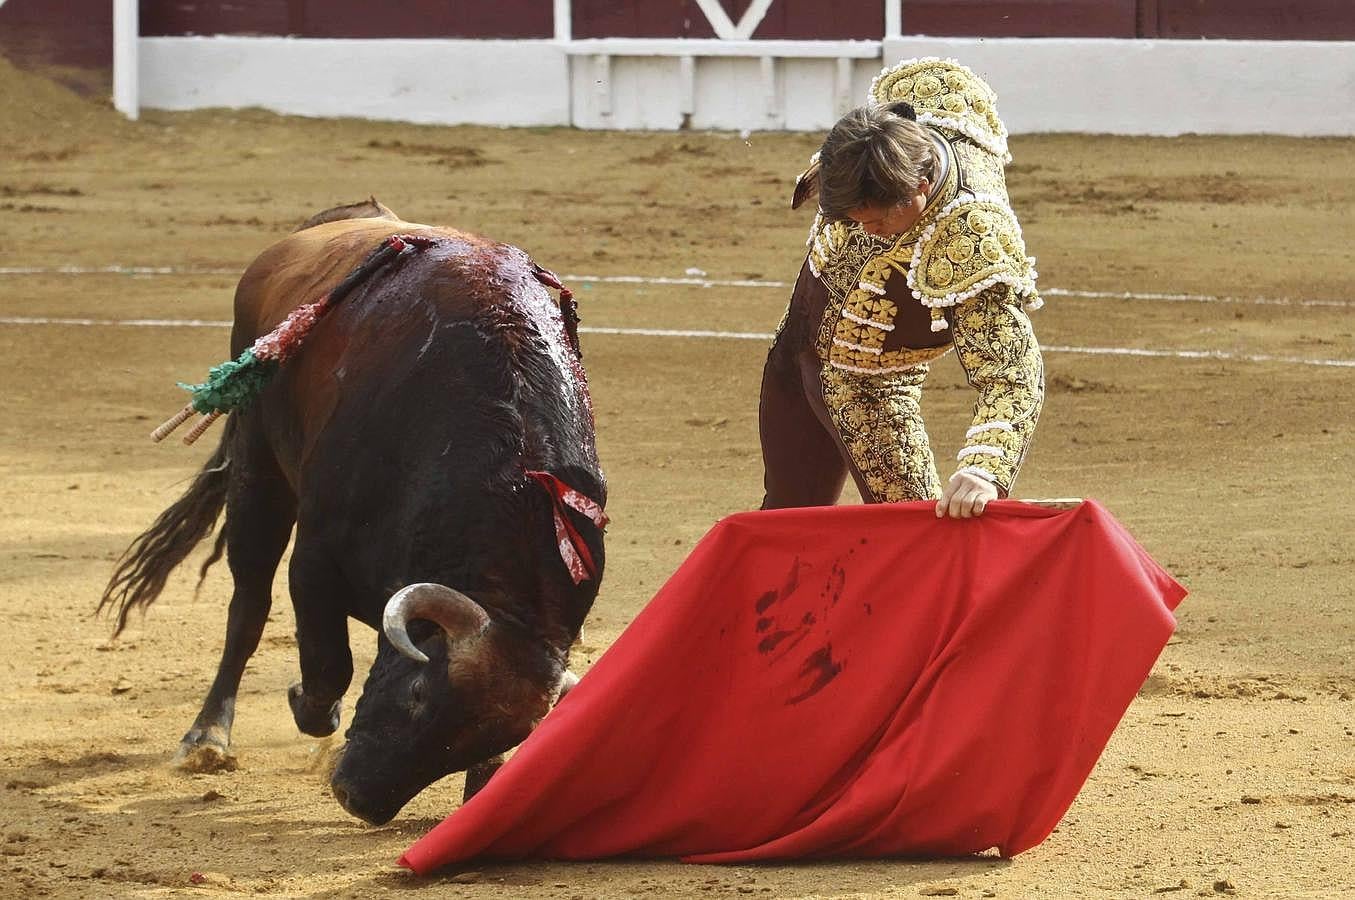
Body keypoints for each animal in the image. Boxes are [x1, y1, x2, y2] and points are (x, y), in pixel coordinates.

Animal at [104, 200, 609, 824]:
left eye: (498, 738)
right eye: (417, 696)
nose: (358, 800)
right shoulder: (315, 563)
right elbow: (327, 664)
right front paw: (309, 706)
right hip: (257, 468)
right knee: (249, 602)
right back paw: (207, 738)